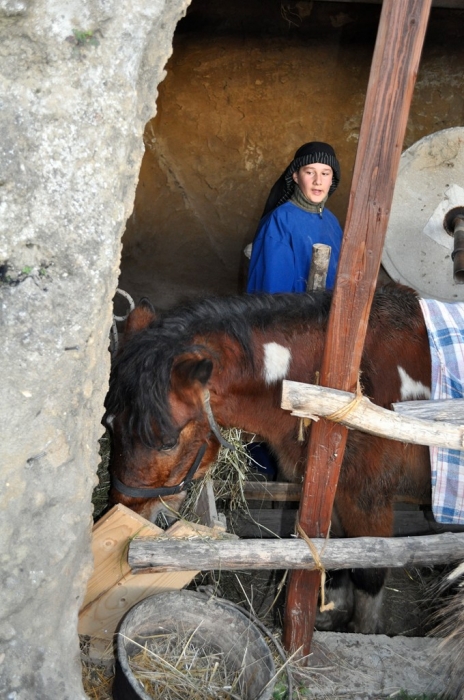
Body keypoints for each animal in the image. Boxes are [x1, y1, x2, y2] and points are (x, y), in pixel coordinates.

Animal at [104, 284, 432, 636]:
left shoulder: (368, 502)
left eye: (167, 442)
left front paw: (361, 632)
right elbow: (335, 553)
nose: (125, 508)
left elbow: (370, 572)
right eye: (109, 423)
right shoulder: (331, 493)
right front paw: (327, 615)